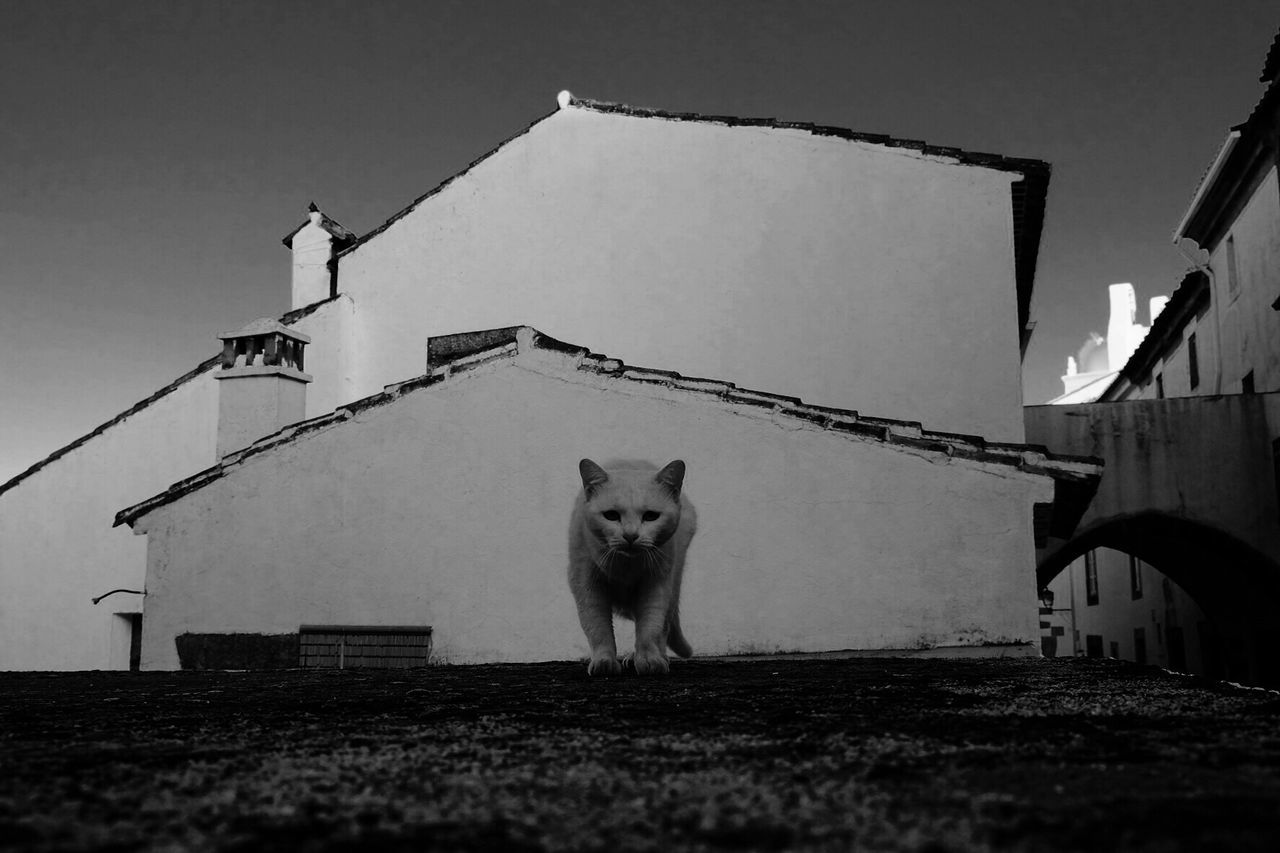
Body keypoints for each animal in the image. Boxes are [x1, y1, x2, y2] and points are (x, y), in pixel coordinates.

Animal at [565, 455, 696, 676]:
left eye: (651, 516)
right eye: (611, 515)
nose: (630, 535)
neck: (625, 566)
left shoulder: (656, 586)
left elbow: (650, 627)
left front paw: (649, 660)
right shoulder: (587, 587)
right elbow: (597, 628)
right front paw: (604, 661)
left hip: (672, 584)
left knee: (663, 627)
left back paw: (651, 656)